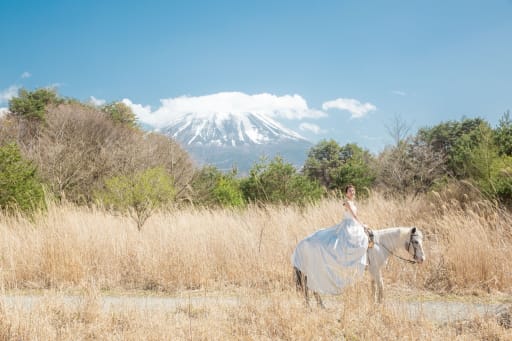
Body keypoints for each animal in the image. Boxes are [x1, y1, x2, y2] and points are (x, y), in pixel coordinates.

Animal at [294, 227, 426, 304]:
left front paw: (373, 302)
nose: (422, 259)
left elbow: (374, 286)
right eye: (415, 241)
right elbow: (381, 286)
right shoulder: (375, 269)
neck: (380, 244)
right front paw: (380, 304)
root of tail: (300, 245)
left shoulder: (373, 270)